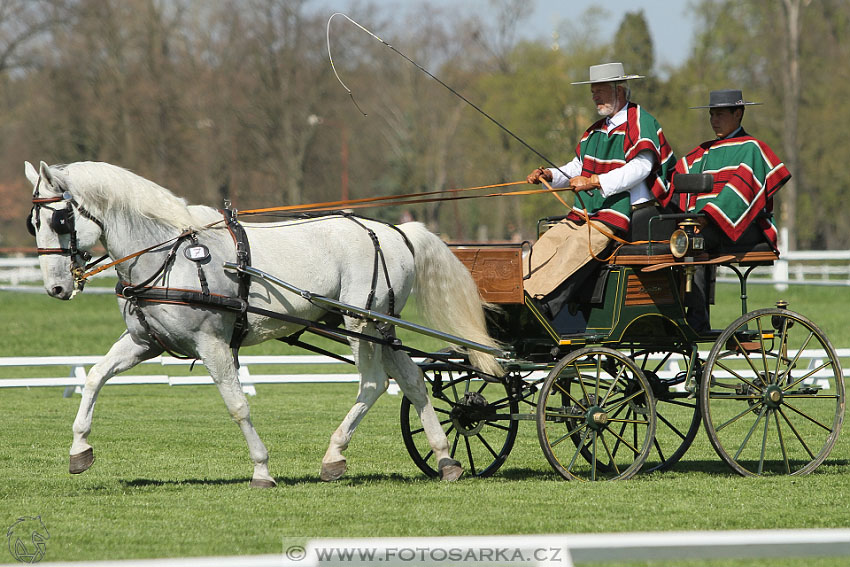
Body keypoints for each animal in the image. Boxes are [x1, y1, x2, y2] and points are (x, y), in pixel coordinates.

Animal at [24, 161, 504, 488]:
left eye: (60, 219)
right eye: (33, 224)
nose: (55, 288)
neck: (169, 253)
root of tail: (396, 232)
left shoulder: (213, 344)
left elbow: (237, 405)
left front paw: (261, 468)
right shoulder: (146, 342)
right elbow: (95, 377)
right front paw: (80, 449)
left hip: (362, 322)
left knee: (373, 382)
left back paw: (335, 455)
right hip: (380, 328)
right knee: (412, 380)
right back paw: (444, 458)